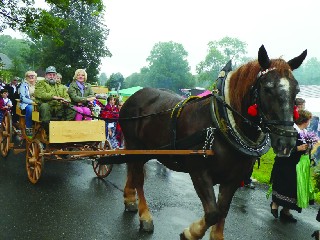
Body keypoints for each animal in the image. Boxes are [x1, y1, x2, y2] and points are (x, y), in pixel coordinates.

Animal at [118, 44, 308, 238]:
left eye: (296, 90)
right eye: (268, 88)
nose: (287, 142)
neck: (221, 125)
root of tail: (135, 95)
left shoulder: (233, 179)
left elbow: (223, 210)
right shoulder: (199, 172)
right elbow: (212, 213)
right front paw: (190, 233)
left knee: (132, 171)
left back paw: (129, 199)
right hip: (136, 146)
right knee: (139, 179)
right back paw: (145, 216)